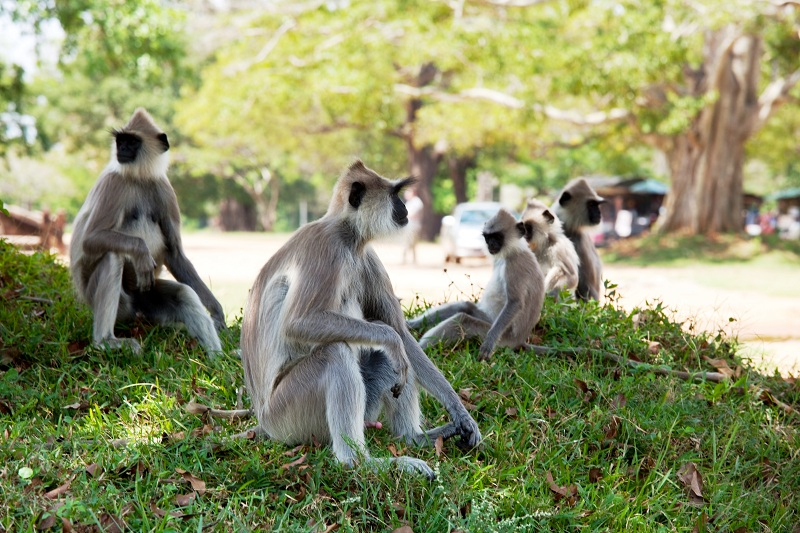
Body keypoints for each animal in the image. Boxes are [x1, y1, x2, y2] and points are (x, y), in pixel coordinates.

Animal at [69, 107, 225, 356]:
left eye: (132, 142)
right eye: (121, 141)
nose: (122, 150)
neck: (139, 177)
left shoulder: (164, 189)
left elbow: (175, 254)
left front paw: (216, 311)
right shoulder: (114, 183)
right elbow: (90, 240)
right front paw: (141, 252)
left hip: (146, 298)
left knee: (184, 294)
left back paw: (216, 358)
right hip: (106, 299)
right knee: (112, 257)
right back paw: (105, 341)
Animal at [410, 208, 548, 362]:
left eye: (497, 237)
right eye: (488, 237)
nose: (490, 244)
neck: (511, 252)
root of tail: (520, 340)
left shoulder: (516, 265)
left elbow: (515, 302)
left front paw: (489, 342)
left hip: (504, 338)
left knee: (462, 319)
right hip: (489, 318)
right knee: (463, 306)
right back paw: (411, 326)